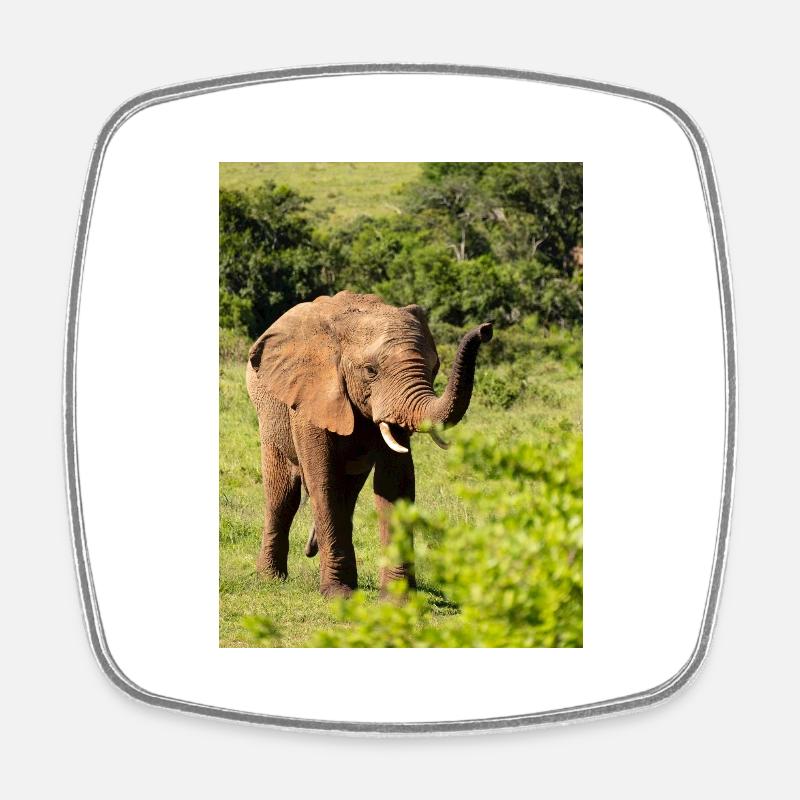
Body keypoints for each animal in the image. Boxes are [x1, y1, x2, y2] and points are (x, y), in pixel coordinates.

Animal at [246, 290, 493, 598]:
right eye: (370, 371)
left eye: (434, 367)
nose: (486, 329)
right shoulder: (311, 396)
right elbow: (323, 480)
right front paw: (339, 595)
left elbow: (395, 482)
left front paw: (399, 598)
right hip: (269, 413)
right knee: (283, 495)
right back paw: (271, 578)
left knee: (348, 493)